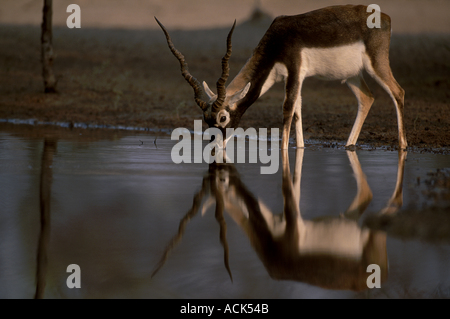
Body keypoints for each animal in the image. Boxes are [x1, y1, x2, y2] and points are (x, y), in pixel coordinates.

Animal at [156, 4, 408, 150]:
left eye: (223, 118)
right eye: (206, 119)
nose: (214, 147)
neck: (278, 39)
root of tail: (385, 17)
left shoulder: (295, 71)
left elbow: (288, 109)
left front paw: (285, 151)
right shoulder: (293, 78)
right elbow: (297, 110)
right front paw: (301, 149)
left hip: (376, 64)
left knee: (398, 92)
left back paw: (403, 146)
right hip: (352, 75)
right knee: (367, 98)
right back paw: (349, 145)